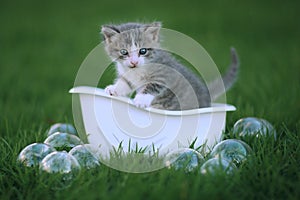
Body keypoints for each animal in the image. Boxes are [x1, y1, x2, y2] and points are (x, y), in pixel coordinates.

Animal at [101, 22, 239, 111]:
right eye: (124, 52)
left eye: (143, 51)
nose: (134, 62)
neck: (138, 70)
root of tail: (205, 94)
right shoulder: (128, 74)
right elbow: (125, 82)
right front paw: (114, 88)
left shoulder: (166, 72)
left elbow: (154, 85)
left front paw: (141, 99)